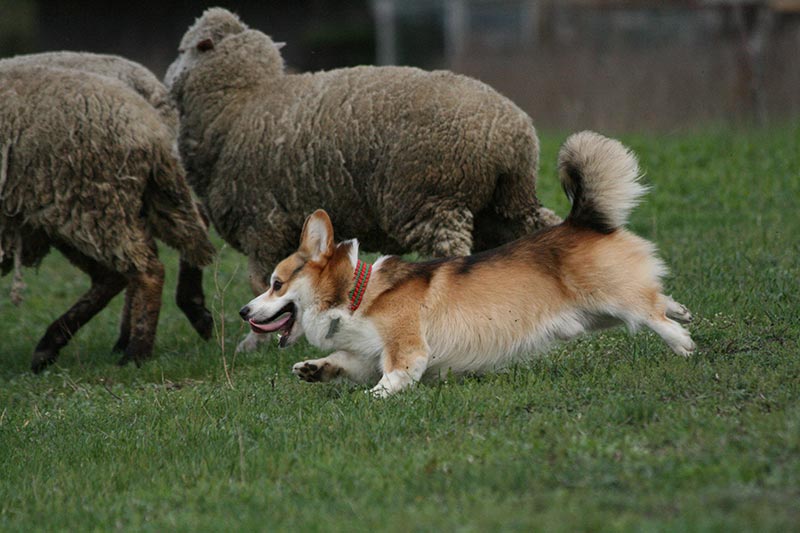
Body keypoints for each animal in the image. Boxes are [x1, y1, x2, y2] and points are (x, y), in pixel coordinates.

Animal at [0, 58, 216, 372]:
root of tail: (150, 123)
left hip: (92, 202)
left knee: (145, 270)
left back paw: (135, 353)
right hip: (85, 211)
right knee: (121, 271)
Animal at [166, 8, 560, 318]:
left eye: (184, 49)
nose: (168, 75)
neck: (237, 105)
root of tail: (511, 132)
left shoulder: (262, 222)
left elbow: (260, 280)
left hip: (433, 198)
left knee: (452, 251)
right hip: (503, 203)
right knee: (540, 226)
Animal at [238, 130, 692, 394]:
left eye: (276, 284)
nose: (244, 311)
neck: (355, 295)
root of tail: (581, 219)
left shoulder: (407, 351)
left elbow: (390, 379)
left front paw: (373, 399)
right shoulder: (366, 354)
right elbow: (345, 362)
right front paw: (314, 369)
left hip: (611, 298)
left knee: (649, 313)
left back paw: (683, 344)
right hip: (597, 313)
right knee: (658, 298)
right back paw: (683, 312)